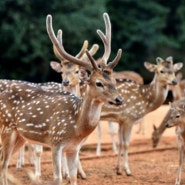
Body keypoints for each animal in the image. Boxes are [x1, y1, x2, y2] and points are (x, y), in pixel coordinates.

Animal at [0, 12, 124, 185]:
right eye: (99, 83)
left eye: (113, 81)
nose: (119, 99)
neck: (77, 126)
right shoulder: (55, 141)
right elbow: (58, 178)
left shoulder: (73, 148)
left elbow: (73, 177)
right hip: (6, 128)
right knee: (3, 165)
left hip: (20, 136)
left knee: (3, 164)